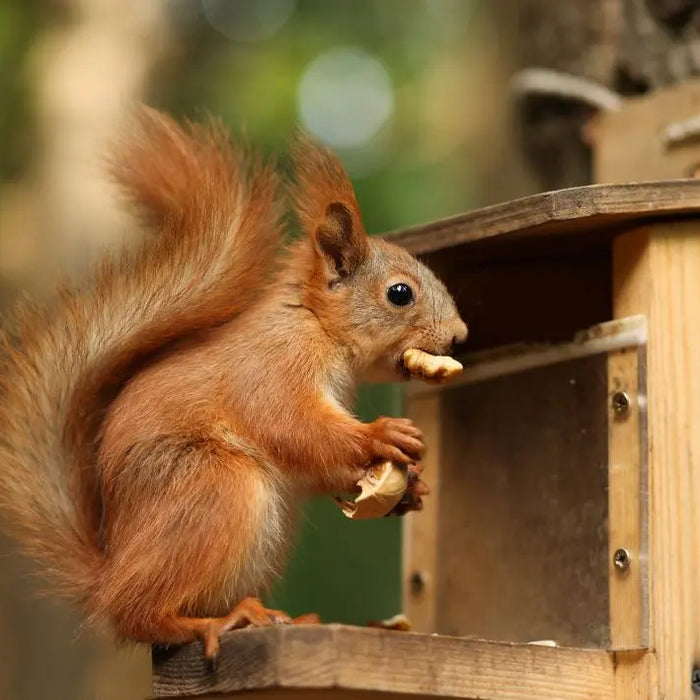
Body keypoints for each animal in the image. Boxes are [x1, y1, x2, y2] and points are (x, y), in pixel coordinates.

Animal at [1, 105, 470, 656]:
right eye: (400, 293)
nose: (460, 336)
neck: (314, 323)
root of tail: (108, 572)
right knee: (139, 613)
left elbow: (318, 465)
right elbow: (292, 425)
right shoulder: (273, 368)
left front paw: (411, 489)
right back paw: (217, 622)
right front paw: (380, 435)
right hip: (214, 488)